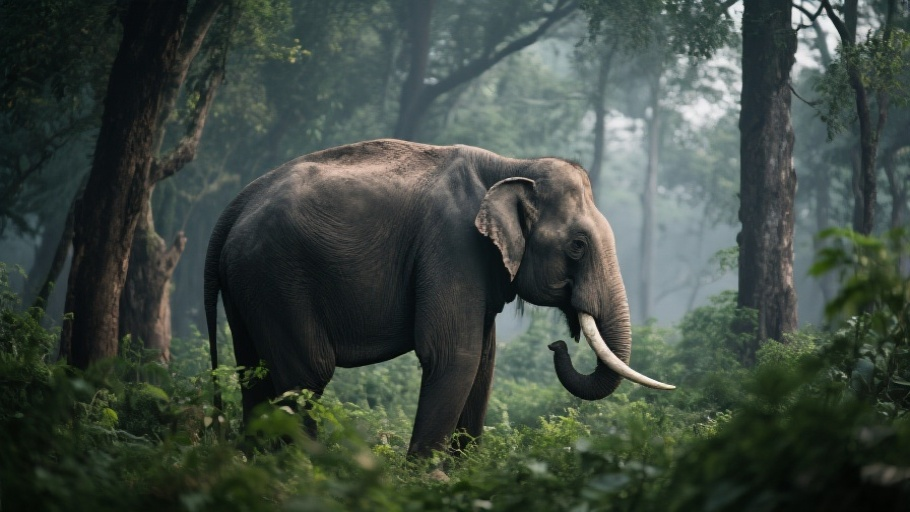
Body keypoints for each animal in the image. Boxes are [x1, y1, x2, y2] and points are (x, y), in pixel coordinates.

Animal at [204, 138, 673, 457]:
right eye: (577, 246)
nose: (557, 343)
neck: (510, 165)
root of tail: (234, 207)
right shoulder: (452, 245)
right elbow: (454, 355)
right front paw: (428, 479)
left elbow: (484, 361)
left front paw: (468, 472)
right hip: (278, 277)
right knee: (306, 376)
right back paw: (312, 471)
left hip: (251, 285)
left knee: (254, 371)